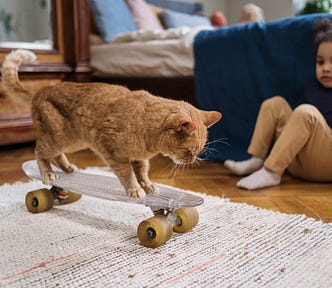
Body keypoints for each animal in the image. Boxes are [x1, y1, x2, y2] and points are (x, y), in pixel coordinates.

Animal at [2, 49, 222, 198]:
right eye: (188, 151)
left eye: (198, 151)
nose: (192, 161)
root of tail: (39, 92)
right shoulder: (115, 154)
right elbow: (127, 175)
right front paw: (135, 189)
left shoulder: (139, 158)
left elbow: (142, 173)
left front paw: (147, 185)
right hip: (60, 137)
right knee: (40, 151)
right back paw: (48, 173)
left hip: (73, 142)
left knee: (56, 155)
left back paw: (67, 168)